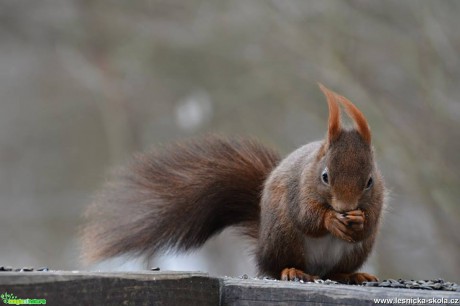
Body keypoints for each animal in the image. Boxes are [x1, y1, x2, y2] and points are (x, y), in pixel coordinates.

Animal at [82, 83, 384, 284]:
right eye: (324, 176)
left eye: (369, 181)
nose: (345, 207)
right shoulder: (299, 190)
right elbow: (307, 216)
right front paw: (332, 220)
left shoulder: (378, 198)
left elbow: (370, 222)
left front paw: (359, 220)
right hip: (284, 238)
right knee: (277, 267)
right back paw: (292, 270)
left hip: (354, 252)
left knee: (334, 271)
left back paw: (352, 274)